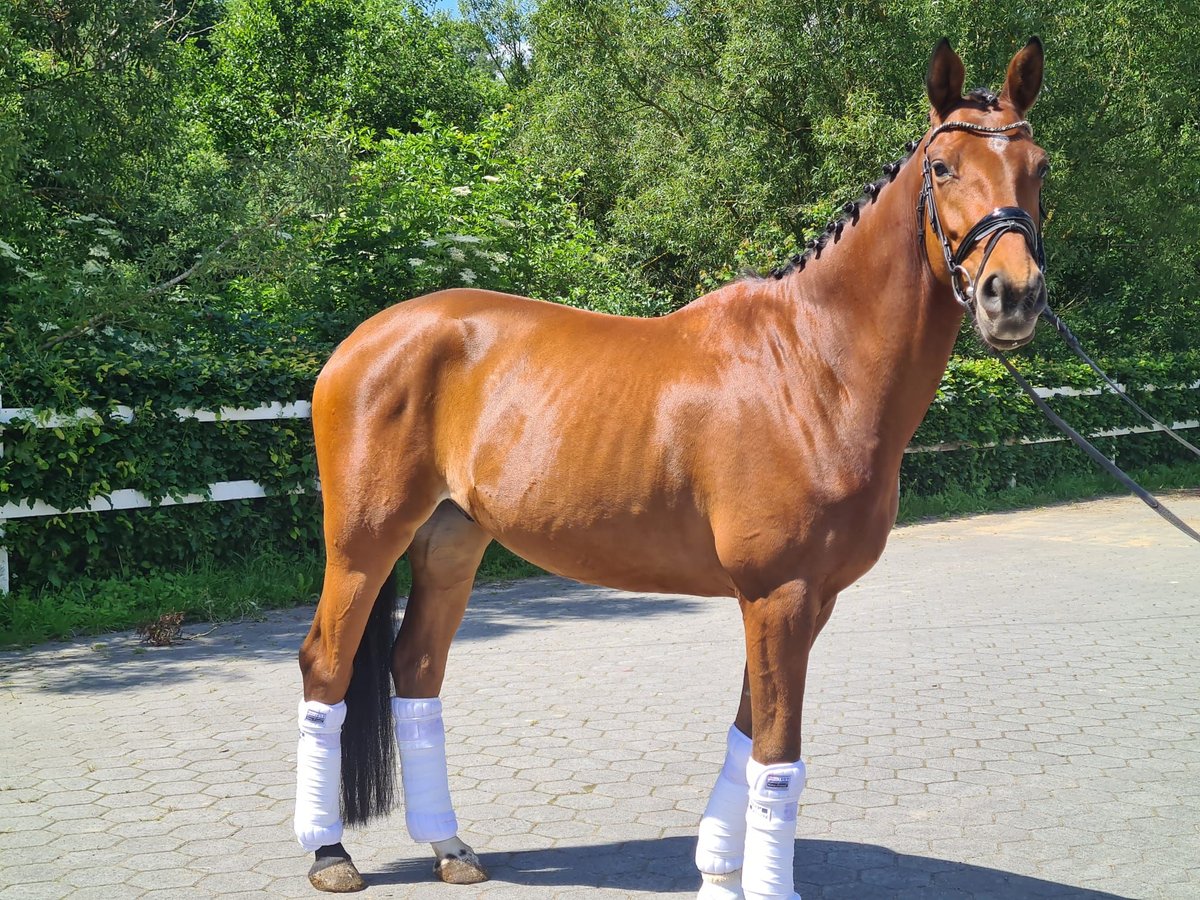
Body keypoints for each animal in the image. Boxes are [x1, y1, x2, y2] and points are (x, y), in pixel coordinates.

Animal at [290, 37, 1051, 900]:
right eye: (945, 166)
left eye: (1038, 166)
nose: (1013, 296)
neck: (813, 366)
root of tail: (360, 341)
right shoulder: (779, 594)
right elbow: (778, 759)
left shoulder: (802, 600)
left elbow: (747, 737)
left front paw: (719, 871)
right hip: (363, 542)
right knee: (326, 666)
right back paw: (329, 852)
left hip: (451, 539)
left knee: (417, 668)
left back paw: (449, 845)